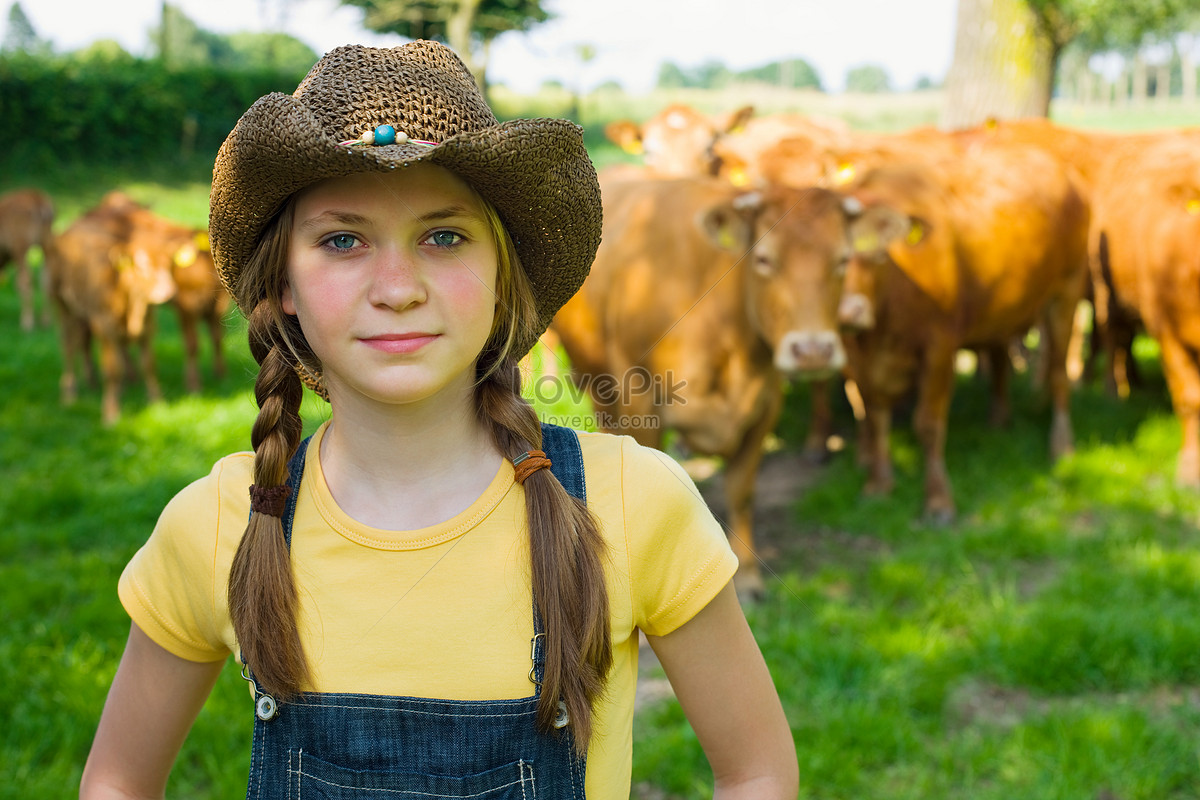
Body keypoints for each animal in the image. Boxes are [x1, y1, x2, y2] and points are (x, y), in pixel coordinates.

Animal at [0, 188, 55, 331]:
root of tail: (37, 200)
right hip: (46, 242)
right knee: (45, 279)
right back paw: (45, 320)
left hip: (21, 246)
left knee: (25, 280)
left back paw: (27, 323)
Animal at [552, 176, 873, 599]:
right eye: (763, 259)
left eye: (842, 260)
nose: (813, 351)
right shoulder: (639, 398)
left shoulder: (766, 403)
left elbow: (741, 489)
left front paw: (749, 576)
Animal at [830, 142, 1094, 520]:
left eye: (875, 253)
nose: (849, 311)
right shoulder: (859, 357)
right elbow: (873, 412)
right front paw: (878, 485)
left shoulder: (939, 346)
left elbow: (927, 422)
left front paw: (938, 500)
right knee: (1000, 359)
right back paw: (999, 419)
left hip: (1066, 292)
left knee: (1058, 371)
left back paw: (1061, 445)